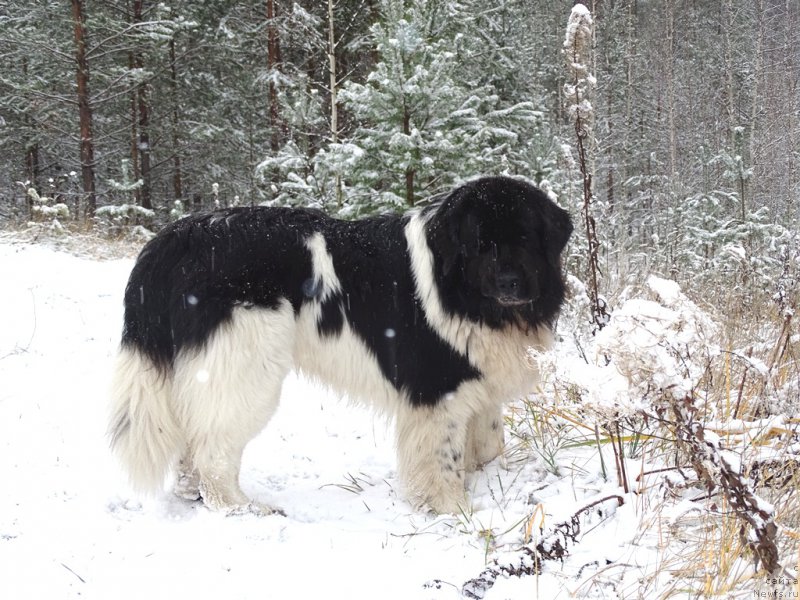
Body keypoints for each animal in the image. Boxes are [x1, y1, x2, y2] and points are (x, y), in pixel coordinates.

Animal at [108, 176, 568, 512]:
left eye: (526, 238)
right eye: (479, 244)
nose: (509, 283)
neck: (462, 293)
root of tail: (174, 239)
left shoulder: (477, 384)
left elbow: (487, 442)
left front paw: (487, 480)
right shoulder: (437, 390)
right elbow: (442, 460)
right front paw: (454, 511)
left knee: (192, 443)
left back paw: (193, 495)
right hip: (244, 369)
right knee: (213, 449)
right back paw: (242, 508)